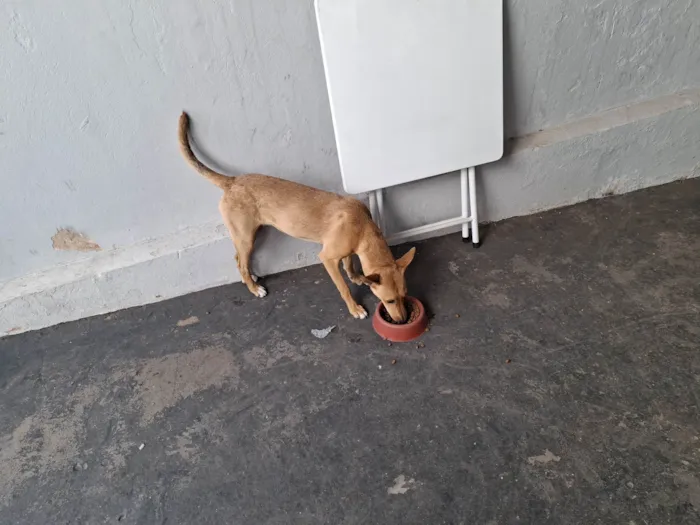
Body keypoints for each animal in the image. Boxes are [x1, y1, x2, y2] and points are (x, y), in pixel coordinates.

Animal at [178, 112, 416, 322]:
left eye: (404, 296)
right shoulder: (328, 258)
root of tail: (233, 181)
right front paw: (355, 308)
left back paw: (250, 279)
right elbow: (343, 287)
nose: (403, 320)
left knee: (239, 259)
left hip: (249, 235)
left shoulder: (348, 251)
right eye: (390, 301)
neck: (362, 227)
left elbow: (350, 266)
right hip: (245, 236)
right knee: (241, 263)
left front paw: (358, 277)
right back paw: (254, 288)